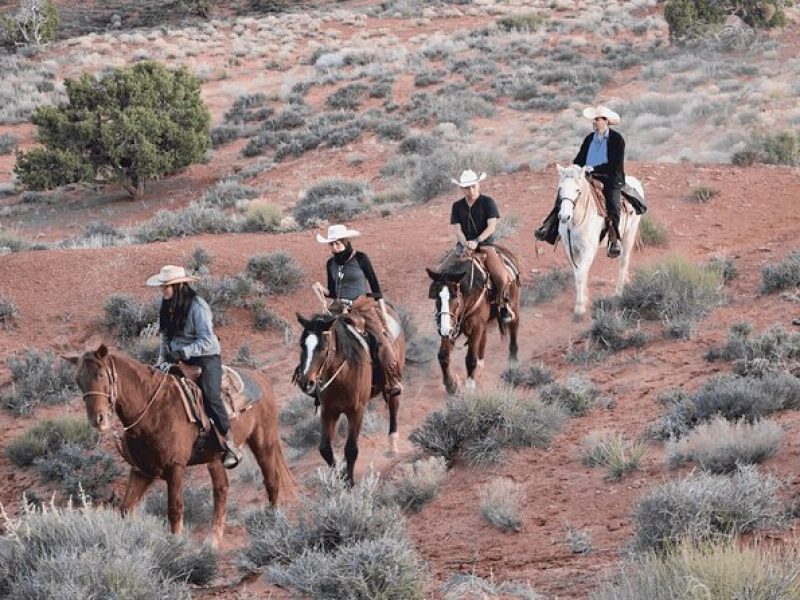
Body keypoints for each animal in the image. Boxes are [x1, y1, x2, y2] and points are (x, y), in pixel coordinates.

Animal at [68, 344, 294, 548]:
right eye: (78, 381)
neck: (152, 410)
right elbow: (125, 508)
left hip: (263, 443)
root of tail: (261, 378)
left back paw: (272, 521)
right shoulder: (142, 471)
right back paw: (213, 540)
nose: (97, 419)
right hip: (215, 458)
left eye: (101, 375)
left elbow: (174, 510)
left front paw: (176, 548)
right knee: (221, 489)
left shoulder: (175, 468)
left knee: (271, 480)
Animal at [294, 308, 406, 486]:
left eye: (323, 347)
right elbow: (325, 449)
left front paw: (349, 482)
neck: (342, 375)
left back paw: (392, 447)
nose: (305, 382)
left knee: (393, 408)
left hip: (393, 380)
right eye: (301, 345)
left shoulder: (356, 411)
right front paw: (339, 476)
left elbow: (351, 449)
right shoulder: (328, 412)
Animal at [428, 247, 520, 394]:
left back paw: (513, 360)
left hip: (514, 305)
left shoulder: (475, 326)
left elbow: (470, 358)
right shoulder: (449, 327)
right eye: (437, 297)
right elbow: (443, 356)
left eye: (455, 297)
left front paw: (470, 386)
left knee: (514, 327)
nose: (444, 329)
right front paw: (450, 385)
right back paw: (481, 363)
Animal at [556, 162, 644, 316]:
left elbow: (580, 274)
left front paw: (580, 307)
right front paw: (584, 298)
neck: (576, 221)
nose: (564, 216)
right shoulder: (570, 250)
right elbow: (578, 273)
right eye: (560, 188)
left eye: (577, 190)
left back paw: (618, 292)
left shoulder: (588, 250)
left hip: (629, 233)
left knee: (624, 260)